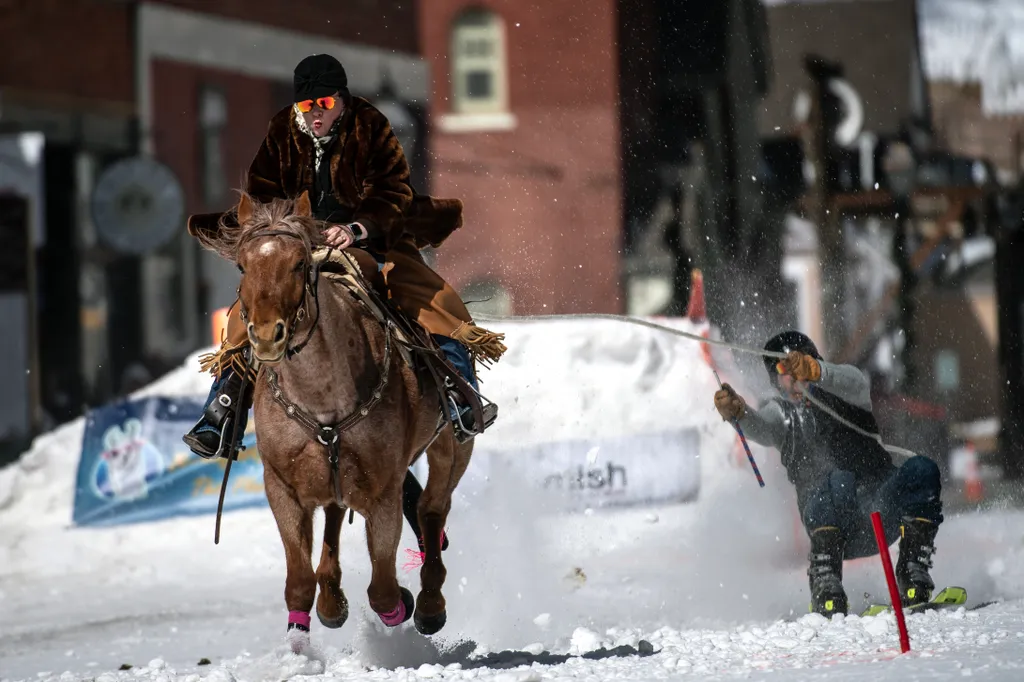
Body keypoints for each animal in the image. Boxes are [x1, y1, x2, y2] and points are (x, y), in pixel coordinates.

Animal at [196, 188, 475, 647]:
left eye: (299, 263)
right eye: (241, 265)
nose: (266, 335)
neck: (322, 397)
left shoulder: (383, 491)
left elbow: (383, 589)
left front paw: (403, 604)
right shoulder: (282, 487)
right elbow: (299, 578)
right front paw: (301, 638)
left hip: (451, 447)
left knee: (432, 511)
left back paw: (429, 604)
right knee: (333, 521)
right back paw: (332, 600)